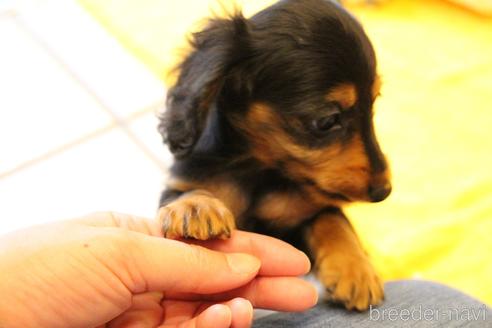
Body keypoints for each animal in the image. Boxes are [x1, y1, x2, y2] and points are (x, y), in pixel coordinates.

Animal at [158, 0, 392, 312]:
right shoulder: (182, 182)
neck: (261, 171)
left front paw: (356, 270)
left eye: (373, 104)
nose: (384, 191)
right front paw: (197, 208)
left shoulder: (299, 220)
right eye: (327, 120)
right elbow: (186, 193)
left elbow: (331, 218)